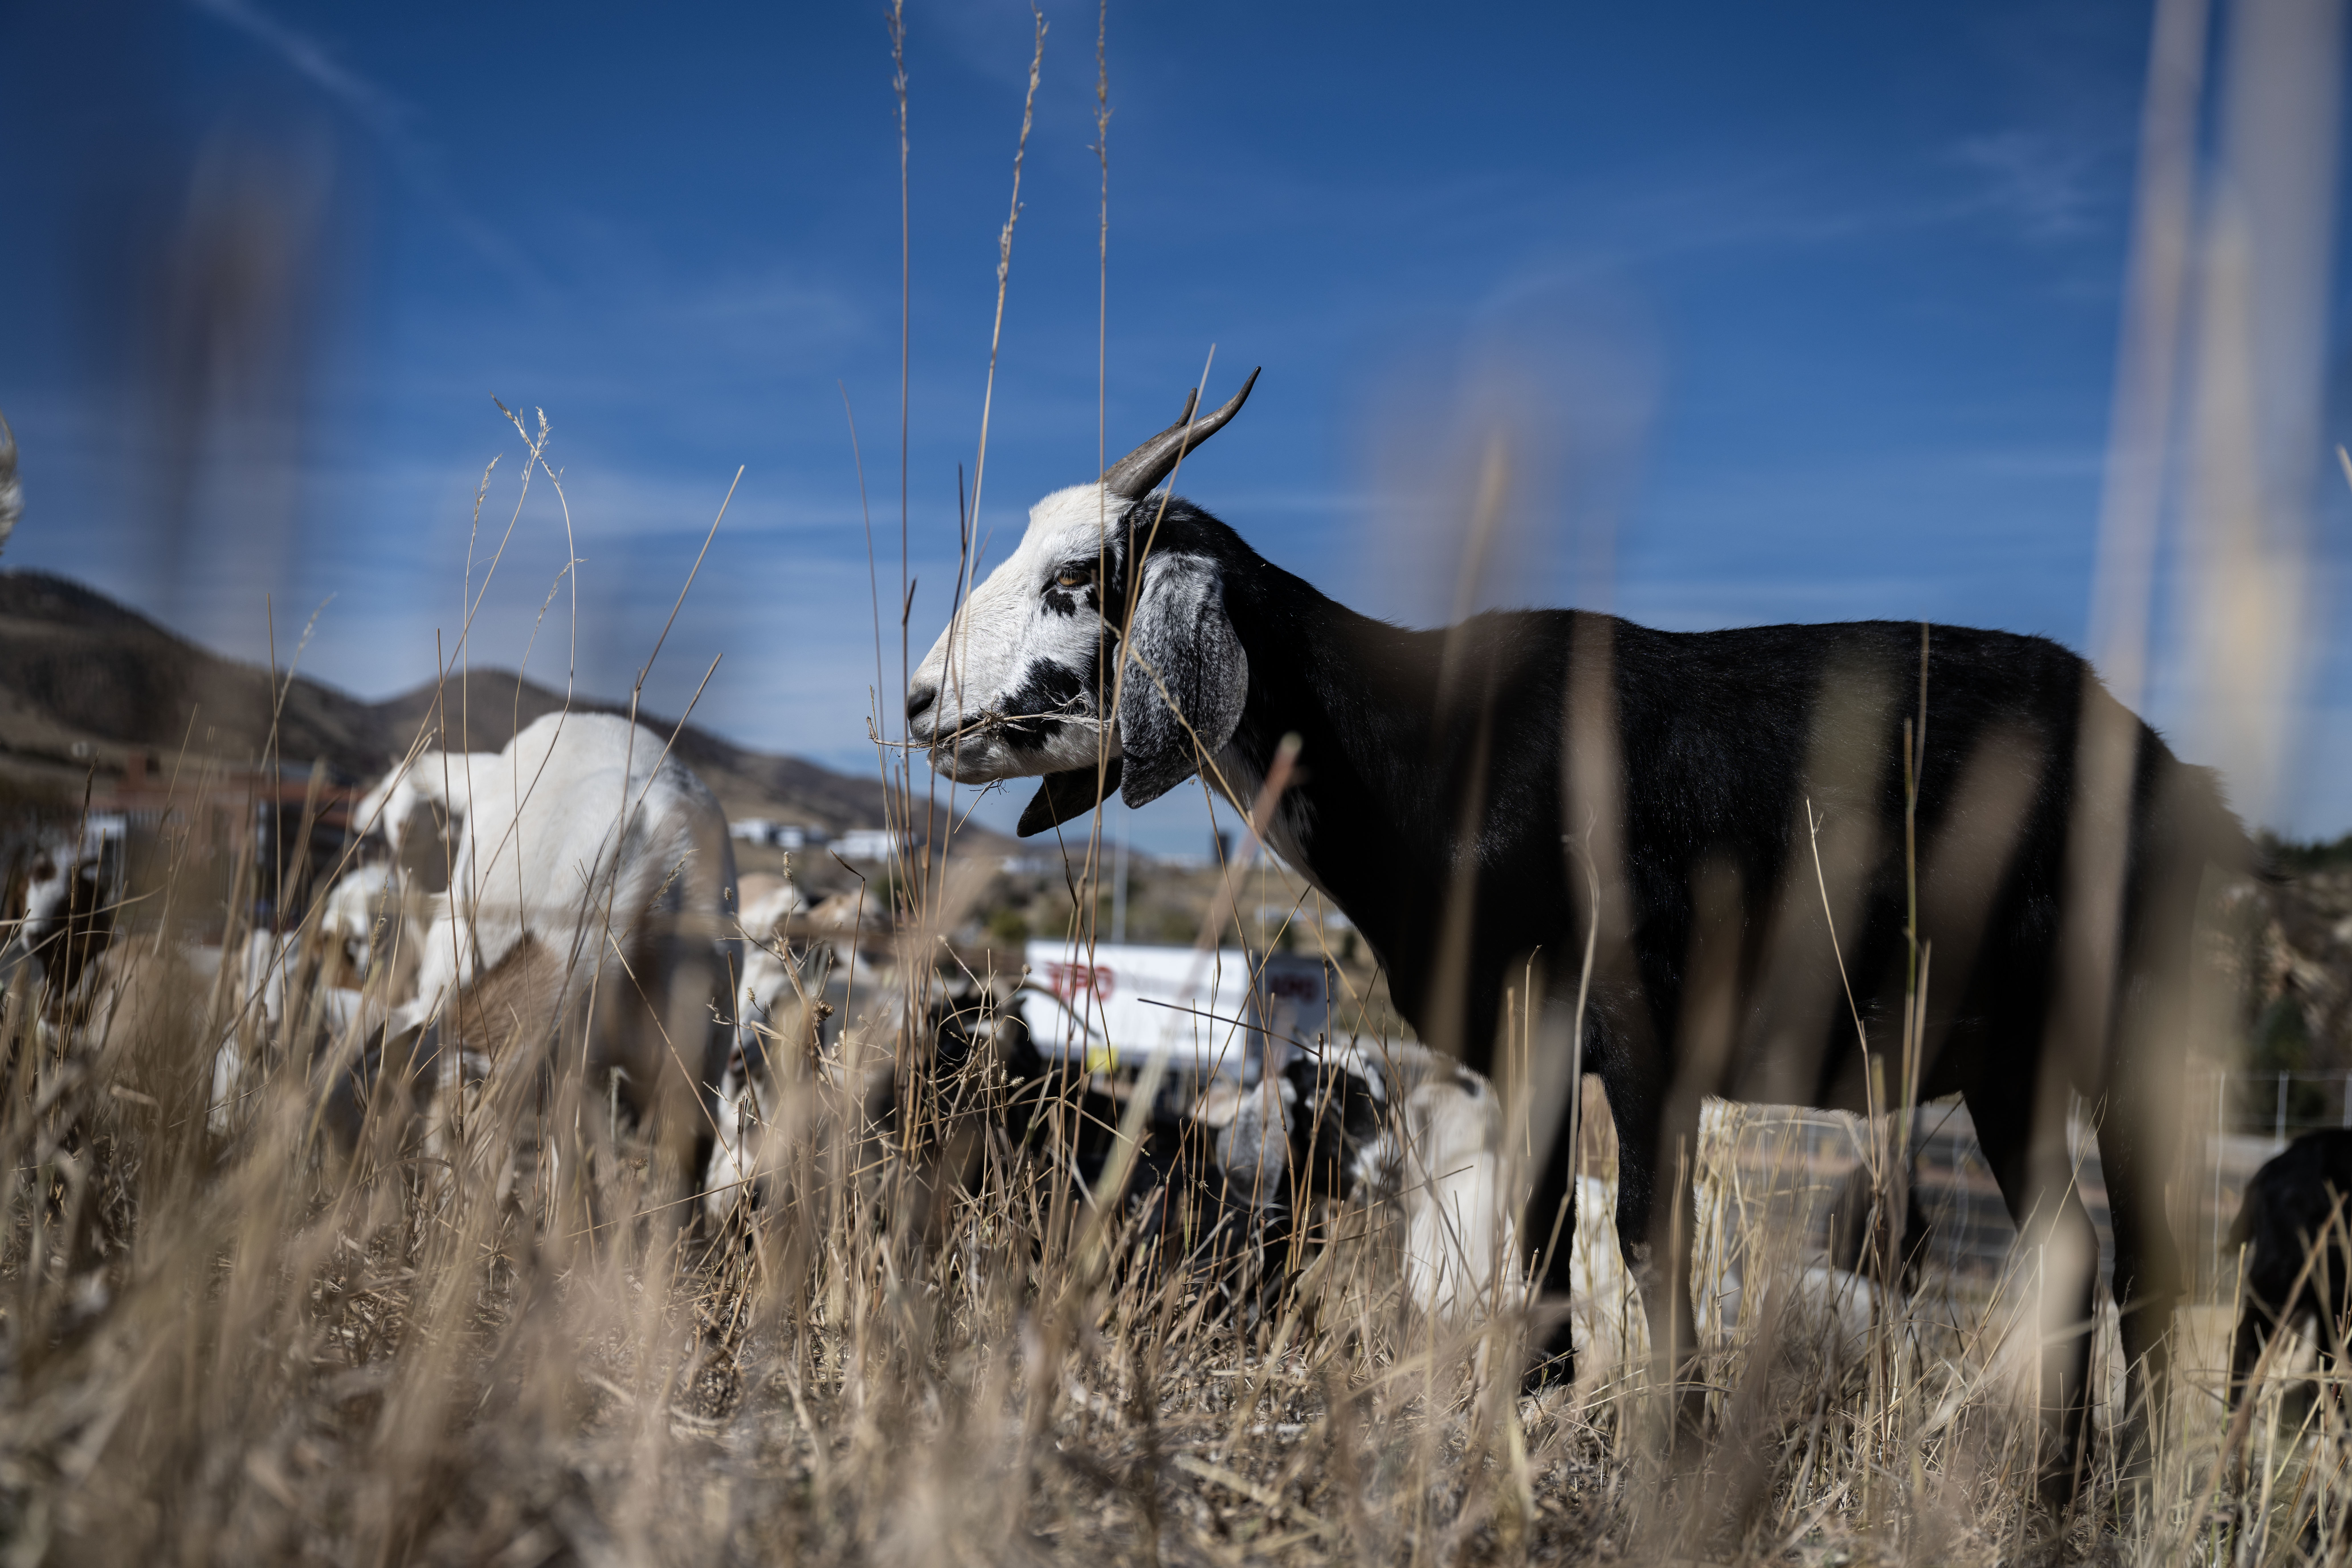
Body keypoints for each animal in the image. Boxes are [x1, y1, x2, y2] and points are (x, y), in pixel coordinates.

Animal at [904, 370, 2245, 1496]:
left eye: (1079, 578)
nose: (919, 704)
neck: (1431, 741)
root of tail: (2176, 772)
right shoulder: (1528, 1039)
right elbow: (1539, 1233)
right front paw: (1533, 1417)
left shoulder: (1645, 1028)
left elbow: (1651, 1238)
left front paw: (1678, 1453)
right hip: (2014, 1064)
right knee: (2072, 1251)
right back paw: (2055, 1492)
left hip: (2120, 1032)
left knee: (2143, 1267)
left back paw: (2127, 1495)